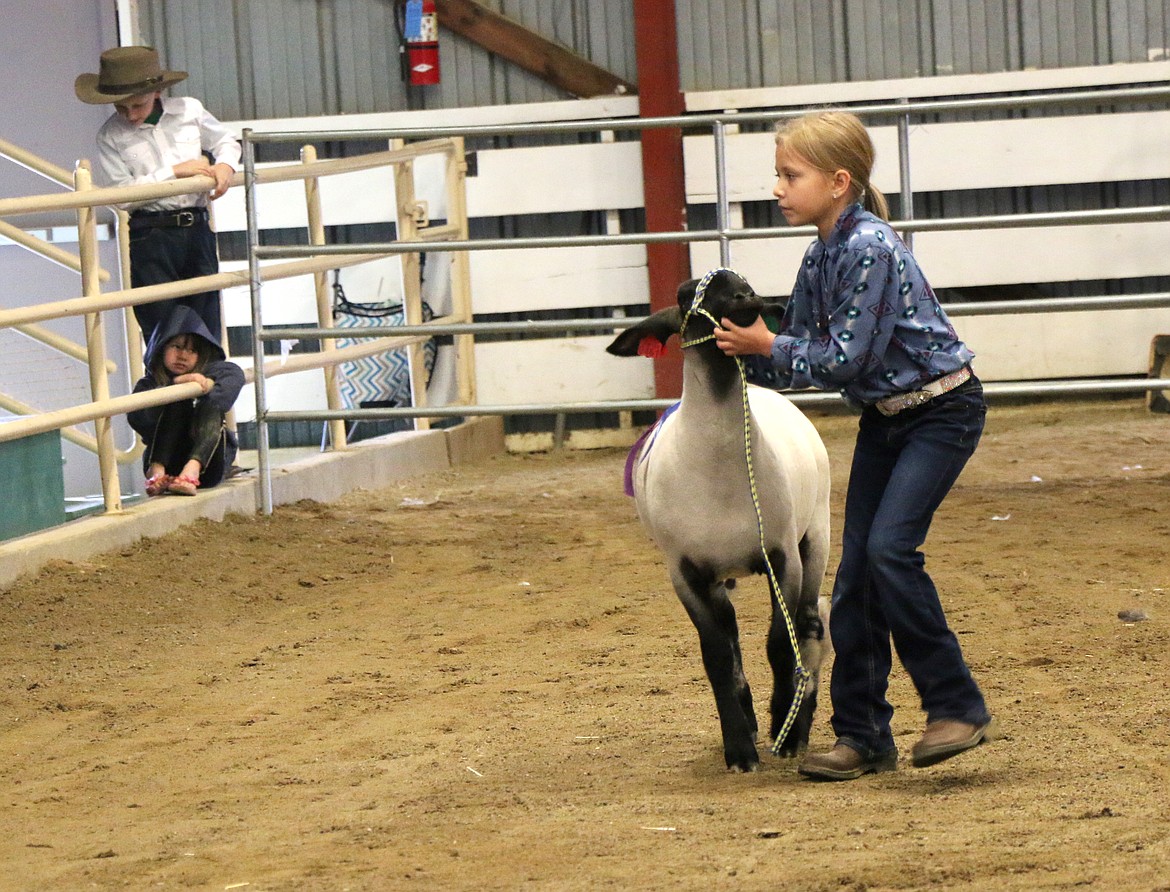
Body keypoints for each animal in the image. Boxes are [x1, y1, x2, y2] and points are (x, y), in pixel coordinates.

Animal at [603, 265, 833, 772]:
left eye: (743, 283)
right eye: (685, 294)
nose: (747, 298)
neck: (718, 464)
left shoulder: (782, 556)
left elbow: (778, 643)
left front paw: (781, 725)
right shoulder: (685, 572)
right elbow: (716, 656)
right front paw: (740, 748)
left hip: (817, 535)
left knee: (809, 627)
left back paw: (794, 727)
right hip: (718, 576)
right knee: (733, 639)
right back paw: (748, 719)